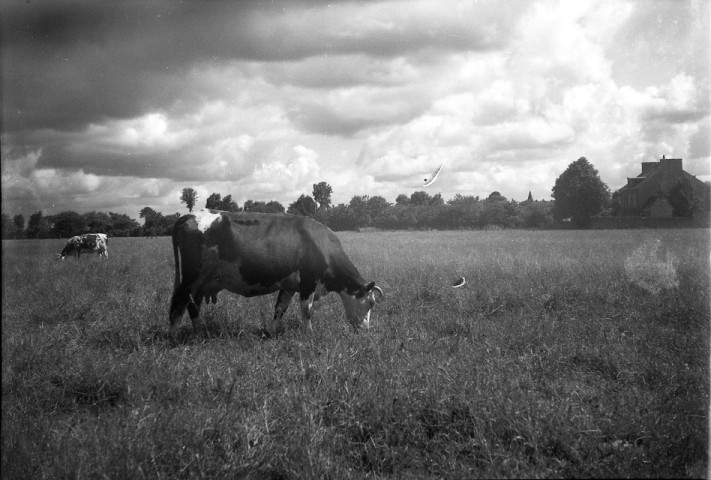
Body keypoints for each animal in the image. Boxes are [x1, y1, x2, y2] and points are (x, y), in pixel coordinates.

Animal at [169, 209, 383, 336]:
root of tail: (191, 215)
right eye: (371, 303)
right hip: (192, 277)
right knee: (180, 301)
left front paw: (270, 333)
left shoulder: (289, 285)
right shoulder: (308, 281)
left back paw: (199, 332)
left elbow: (280, 308)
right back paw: (173, 335)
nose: (366, 330)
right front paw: (310, 335)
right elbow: (306, 310)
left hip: (201, 282)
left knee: (193, 305)